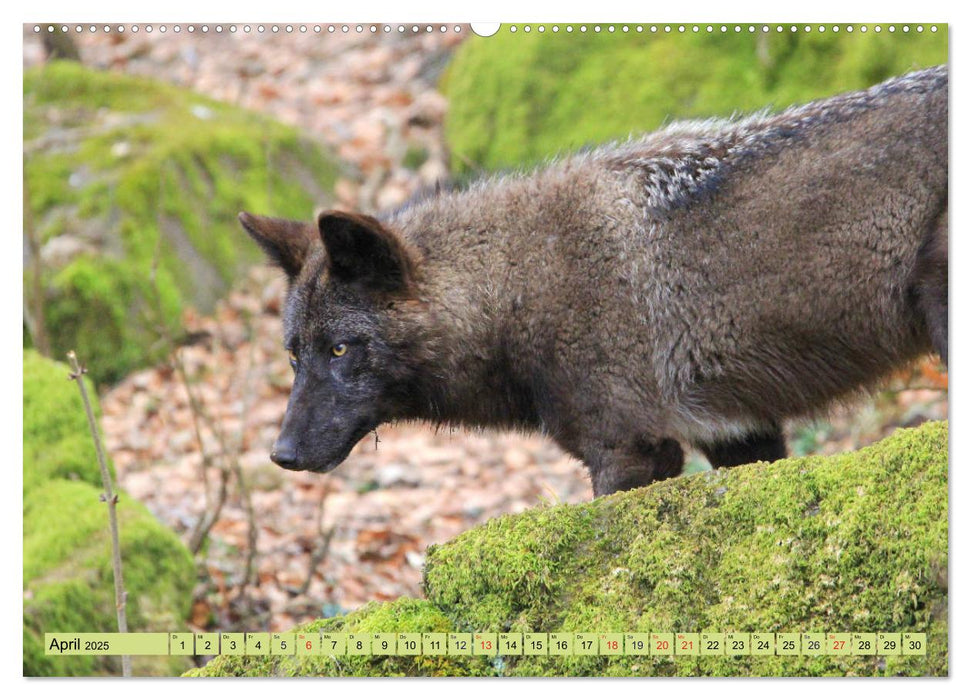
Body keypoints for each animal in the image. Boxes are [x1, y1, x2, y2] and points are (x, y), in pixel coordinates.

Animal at [241, 67, 948, 498]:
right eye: (295, 355)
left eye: (340, 349)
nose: (282, 454)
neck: (517, 286)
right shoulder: (736, 434)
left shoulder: (630, 452)